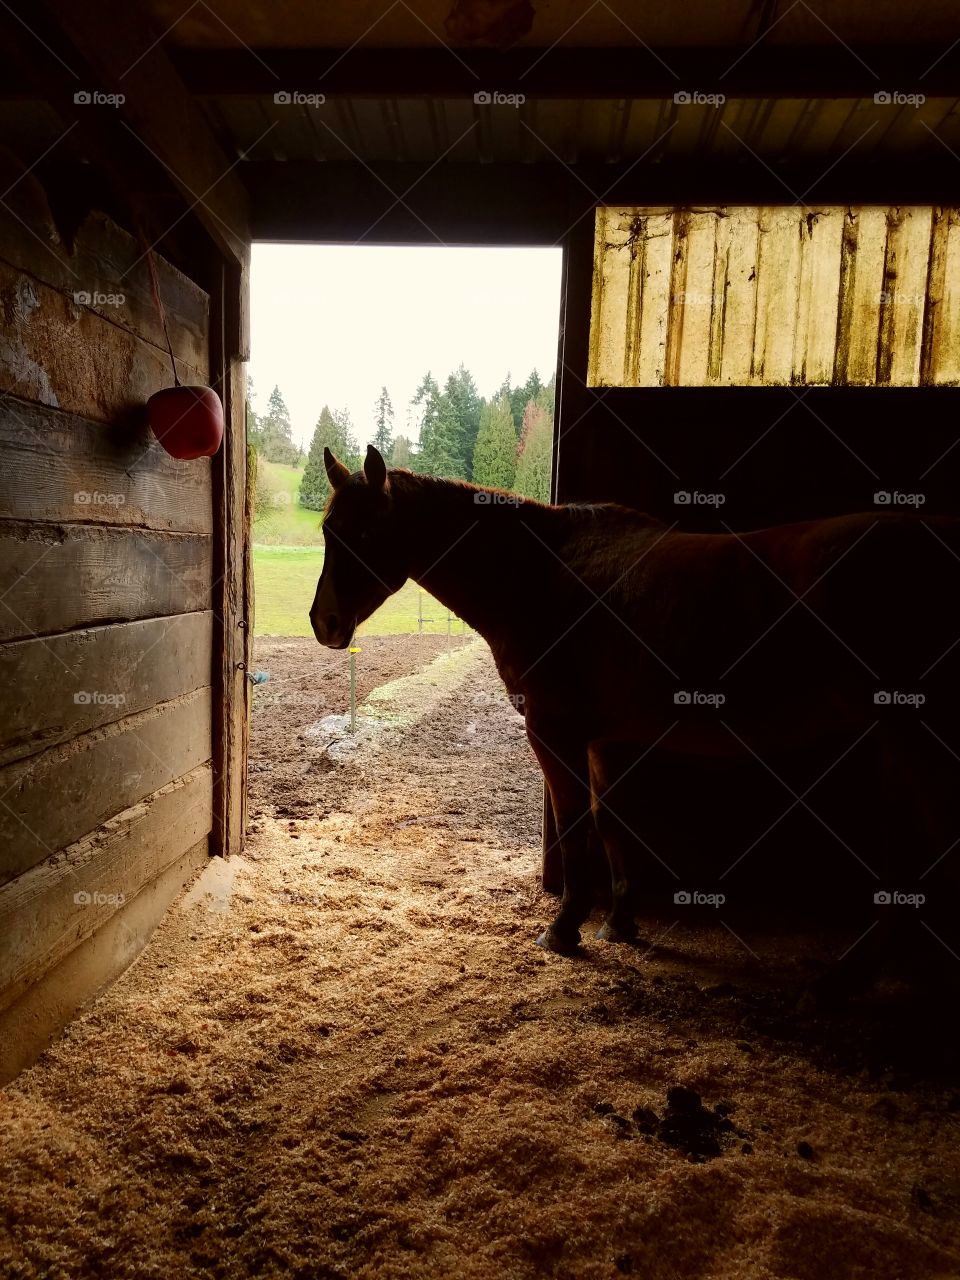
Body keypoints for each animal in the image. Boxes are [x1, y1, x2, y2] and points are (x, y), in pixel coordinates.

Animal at [316, 445, 960, 993]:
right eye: (327, 530)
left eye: (362, 533)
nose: (323, 623)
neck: (539, 576)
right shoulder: (603, 739)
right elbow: (611, 819)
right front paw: (619, 921)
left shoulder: (554, 732)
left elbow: (576, 824)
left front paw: (564, 927)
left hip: (917, 743)